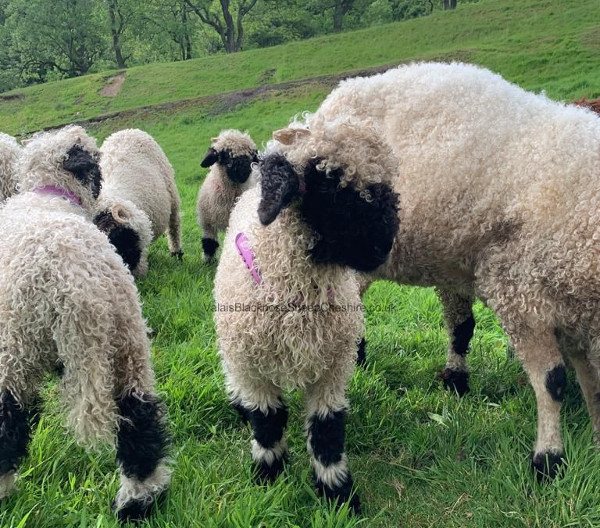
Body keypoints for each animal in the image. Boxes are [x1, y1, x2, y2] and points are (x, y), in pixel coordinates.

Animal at [0, 125, 171, 524]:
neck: (49, 195)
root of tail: (74, 286)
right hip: (127, 339)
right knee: (138, 419)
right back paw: (139, 501)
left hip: (13, 352)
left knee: (6, 428)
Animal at [94, 128, 182, 276]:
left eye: (116, 241)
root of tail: (128, 130)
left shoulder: (136, 244)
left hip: (173, 197)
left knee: (174, 228)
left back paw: (177, 254)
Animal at [197, 128, 258, 260]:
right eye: (225, 154)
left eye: (251, 155)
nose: (243, 172)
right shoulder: (207, 223)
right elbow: (209, 243)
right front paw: (208, 260)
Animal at [213, 114, 400, 512]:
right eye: (330, 189)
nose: (383, 247)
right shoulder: (254, 367)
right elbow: (267, 422)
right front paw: (268, 475)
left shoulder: (333, 368)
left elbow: (328, 429)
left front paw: (338, 493)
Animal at [278, 60, 600, 478]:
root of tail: (332, 102)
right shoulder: (518, 292)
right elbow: (552, 380)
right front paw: (548, 457)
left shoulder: (572, 313)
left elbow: (590, 380)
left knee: (455, 324)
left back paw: (450, 377)